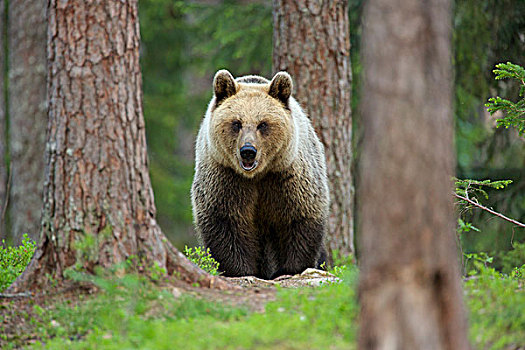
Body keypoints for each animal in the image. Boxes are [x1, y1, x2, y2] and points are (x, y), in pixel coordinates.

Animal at [190, 70, 328, 278]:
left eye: (262, 124)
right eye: (236, 123)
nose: (248, 151)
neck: (257, 175)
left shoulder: (286, 177)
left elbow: (299, 217)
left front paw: (292, 268)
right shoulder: (225, 177)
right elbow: (226, 221)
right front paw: (240, 269)